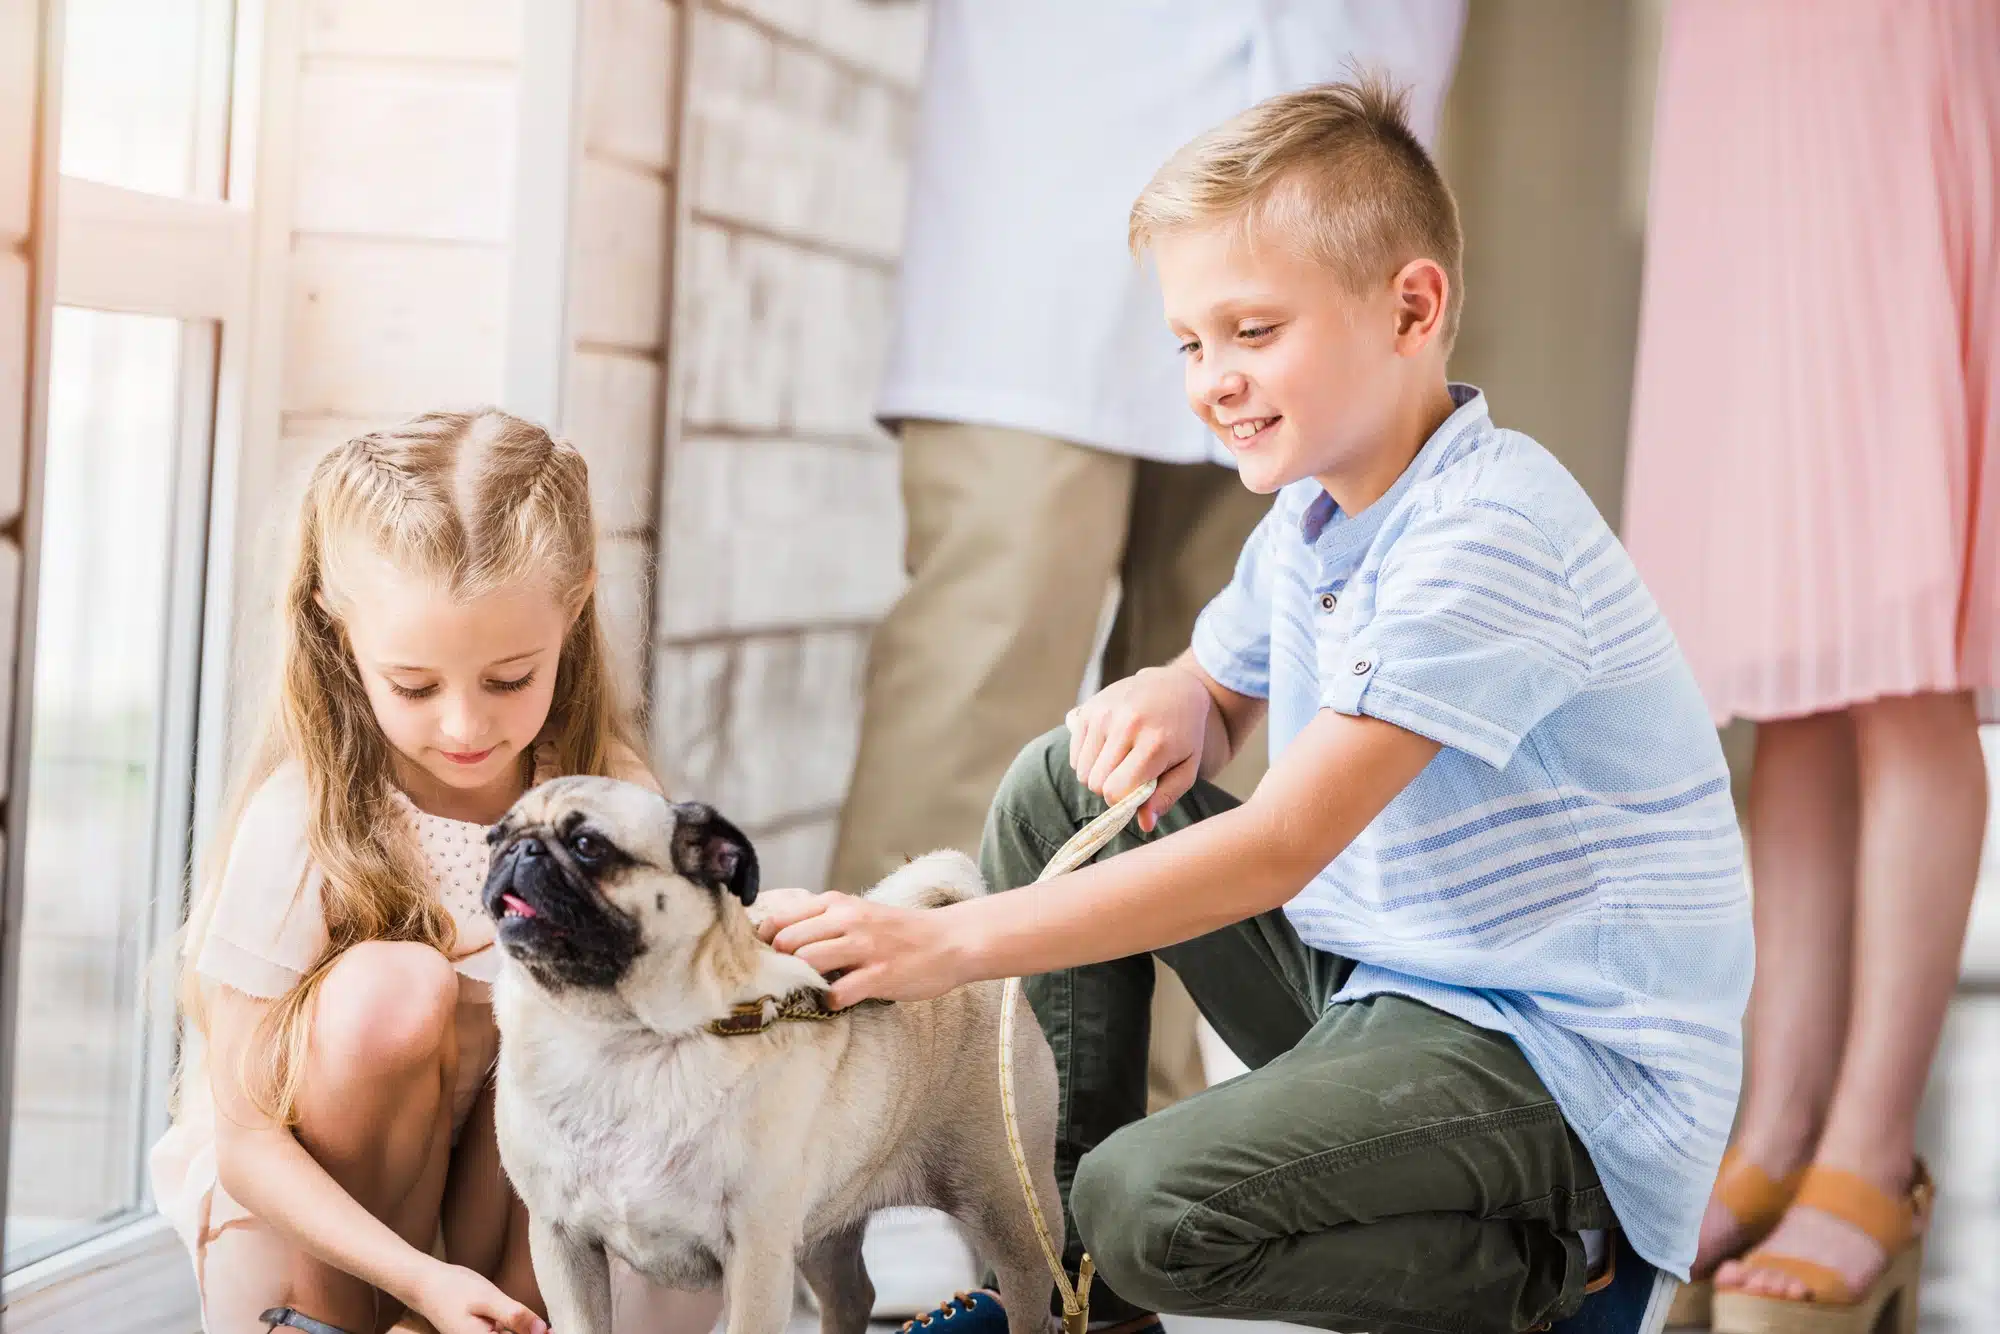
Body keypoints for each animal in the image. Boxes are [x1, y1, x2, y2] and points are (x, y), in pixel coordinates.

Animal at [482, 776, 1064, 1334]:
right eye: (493, 838)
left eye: (588, 846)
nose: (518, 849)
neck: (624, 1040)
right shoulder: (562, 1242)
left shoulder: (756, 1255)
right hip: (822, 1233)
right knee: (853, 1297)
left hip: (1013, 1215)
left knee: (1031, 1305)